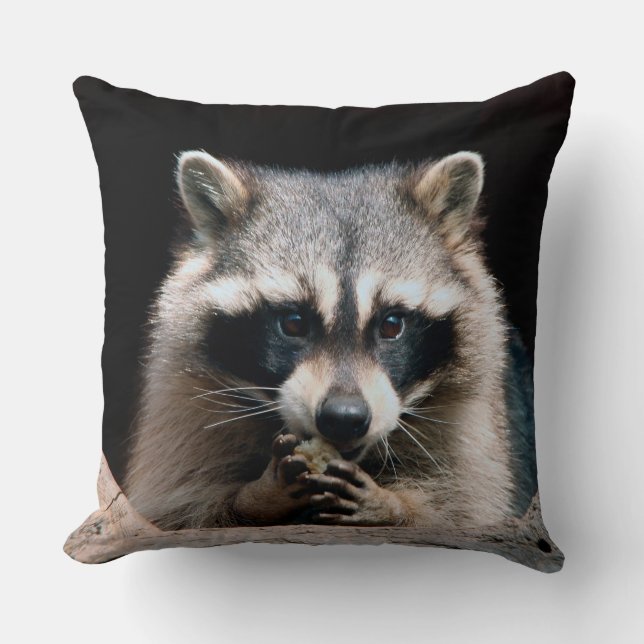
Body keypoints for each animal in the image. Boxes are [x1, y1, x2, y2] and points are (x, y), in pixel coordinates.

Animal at [123, 150, 537, 530]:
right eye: (293, 323)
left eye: (391, 325)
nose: (343, 417)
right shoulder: (185, 406)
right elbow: (178, 507)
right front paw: (256, 496)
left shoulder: (473, 428)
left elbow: (465, 508)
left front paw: (392, 506)